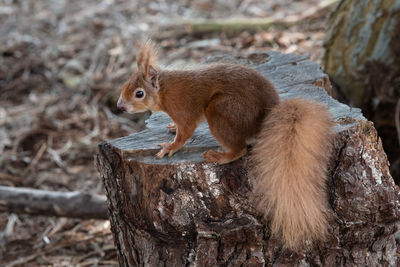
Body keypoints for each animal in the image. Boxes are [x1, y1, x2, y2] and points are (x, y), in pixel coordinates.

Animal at [116, 40, 334, 250]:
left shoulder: (185, 111)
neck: (164, 90)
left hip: (221, 110)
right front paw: (170, 127)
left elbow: (185, 132)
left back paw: (219, 156)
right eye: (125, 85)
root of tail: (267, 114)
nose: (119, 106)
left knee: (240, 149)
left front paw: (170, 147)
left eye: (139, 93)